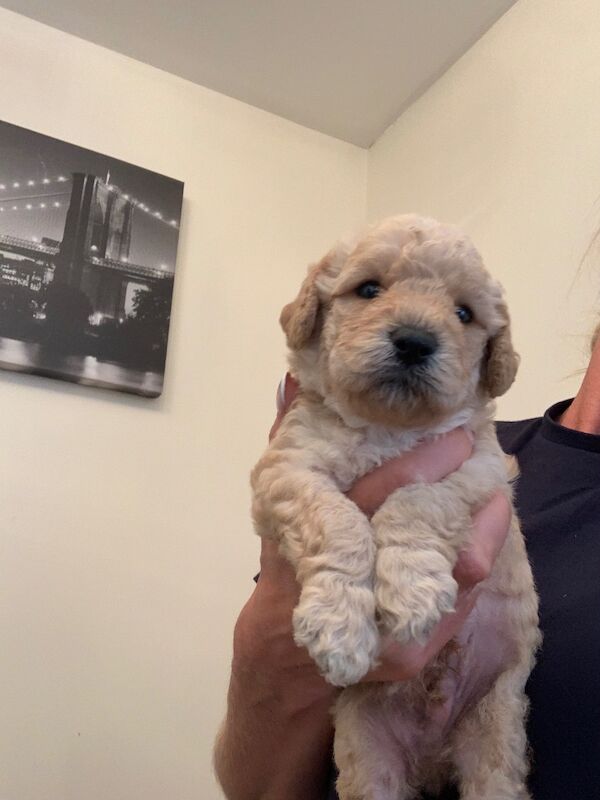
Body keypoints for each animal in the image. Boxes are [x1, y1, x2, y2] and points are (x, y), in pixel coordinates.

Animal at [251, 214, 540, 800]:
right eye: (368, 289)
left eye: (463, 313)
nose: (414, 341)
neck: (388, 426)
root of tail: (432, 759)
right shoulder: (284, 470)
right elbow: (336, 520)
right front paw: (339, 625)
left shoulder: (482, 469)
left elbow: (418, 500)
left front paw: (411, 591)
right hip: (370, 753)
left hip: (495, 732)